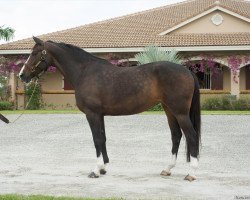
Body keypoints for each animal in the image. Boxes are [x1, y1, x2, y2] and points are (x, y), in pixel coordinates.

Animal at [19, 36, 201, 182]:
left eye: (35, 53)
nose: (22, 75)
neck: (84, 72)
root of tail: (186, 70)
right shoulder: (100, 115)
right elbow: (103, 138)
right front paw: (103, 168)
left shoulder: (92, 114)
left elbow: (97, 140)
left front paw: (95, 170)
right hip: (169, 110)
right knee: (176, 136)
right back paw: (167, 169)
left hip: (180, 112)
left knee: (191, 136)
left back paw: (192, 173)